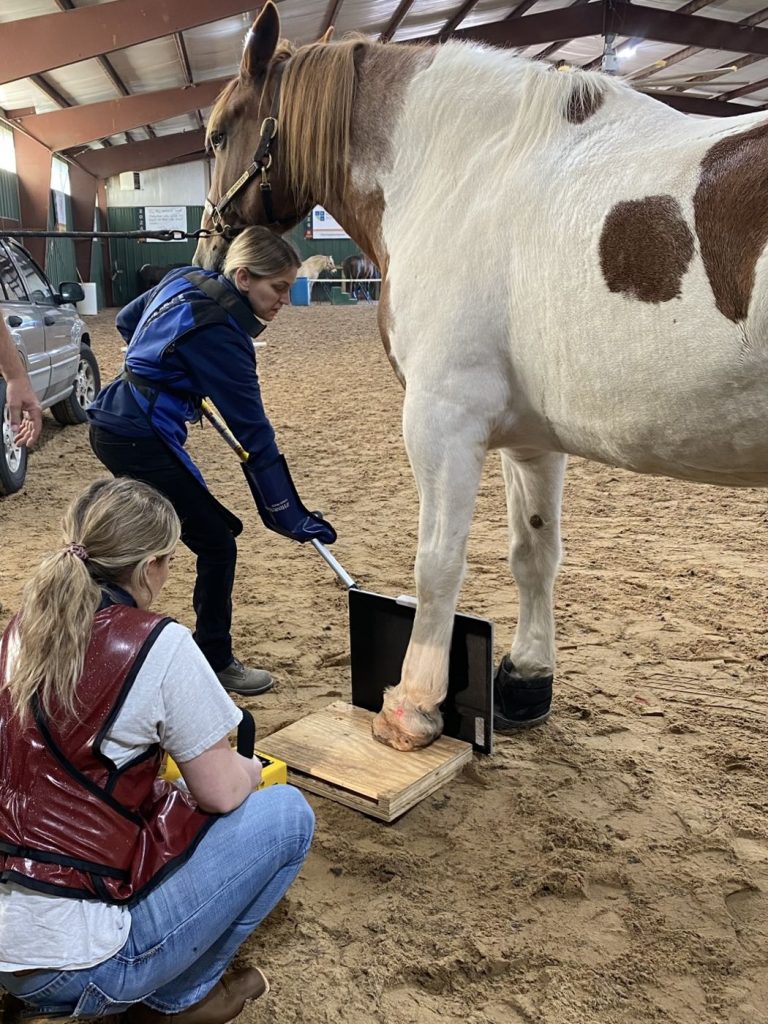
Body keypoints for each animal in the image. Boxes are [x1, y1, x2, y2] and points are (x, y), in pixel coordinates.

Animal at [195, 2, 768, 753]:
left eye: (218, 135)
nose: (206, 251)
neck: (467, 175)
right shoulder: (531, 440)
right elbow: (534, 552)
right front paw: (526, 681)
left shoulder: (443, 420)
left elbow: (438, 563)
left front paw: (411, 708)